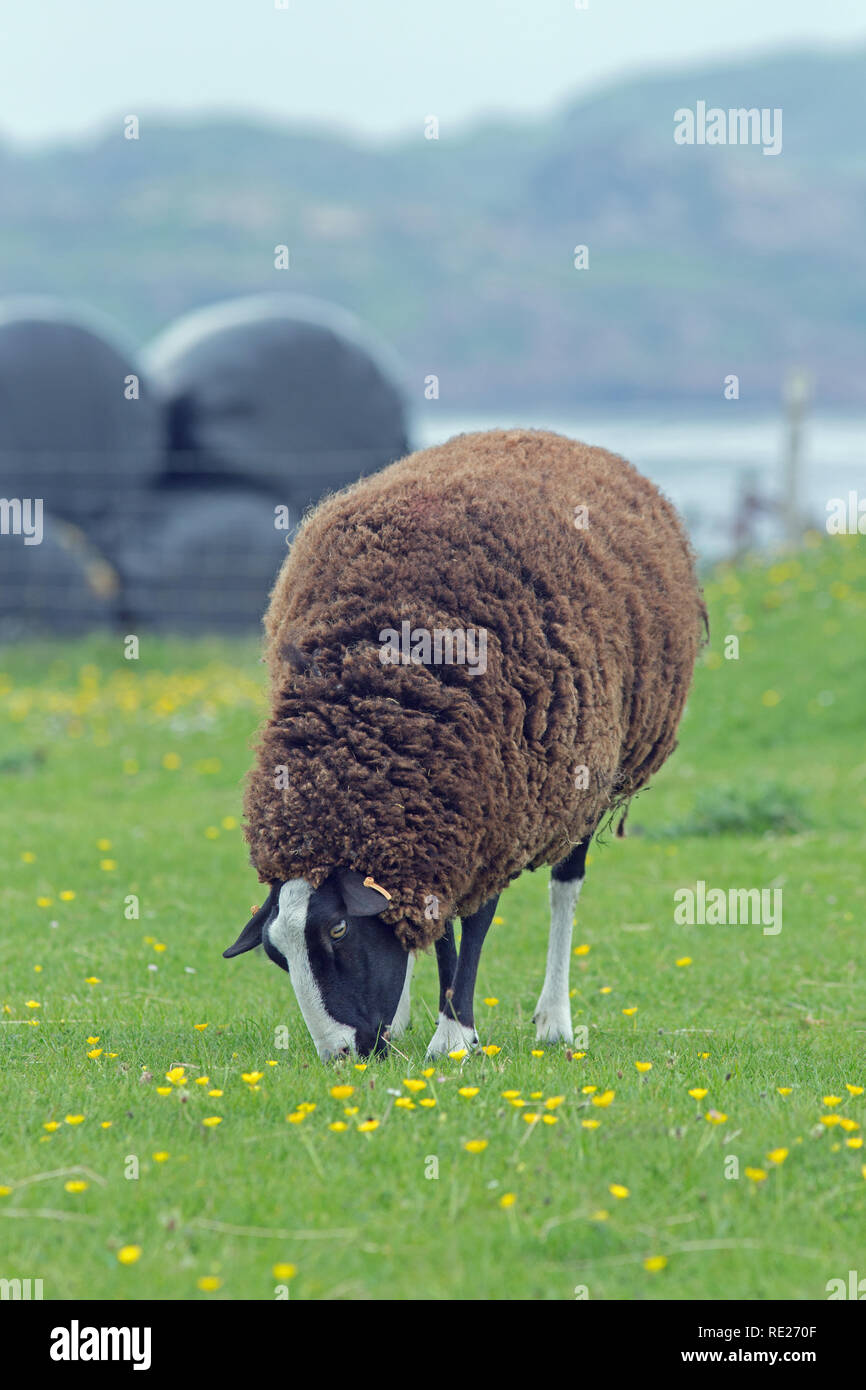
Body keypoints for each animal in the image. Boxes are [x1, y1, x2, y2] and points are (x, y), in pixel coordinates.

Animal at [226, 428, 708, 1056]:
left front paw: (455, 1033)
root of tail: (543, 434)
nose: (343, 1055)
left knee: (565, 887)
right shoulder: (447, 816)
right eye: (277, 955)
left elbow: (474, 923)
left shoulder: (502, 807)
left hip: (585, 779)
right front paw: (433, 1019)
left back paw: (555, 1018)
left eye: (338, 928)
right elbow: (433, 921)